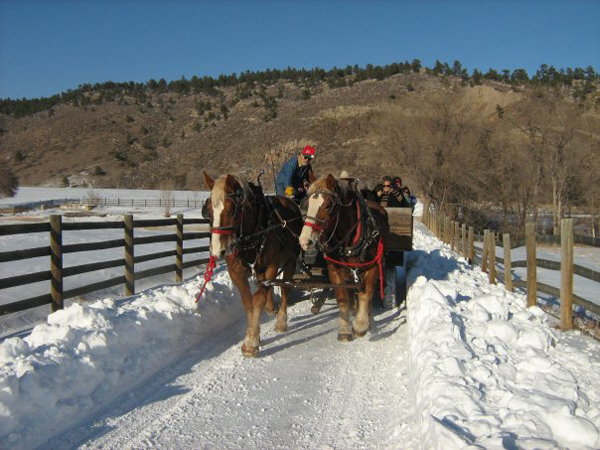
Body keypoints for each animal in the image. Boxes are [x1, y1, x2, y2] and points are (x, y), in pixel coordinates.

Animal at [203, 171, 304, 356]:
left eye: (231, 210)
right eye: (209, 211)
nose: (218, 250)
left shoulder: (271, 265)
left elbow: (258, 299)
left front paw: (250, 342)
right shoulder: (236, 271)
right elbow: (248, 302)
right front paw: (255, 334)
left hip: (290, 261)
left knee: (284, 288)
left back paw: (281, 320)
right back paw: (271, 307)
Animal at [298, 174, 390, 340]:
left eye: (328, 206)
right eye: (307, 205)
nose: (305, 240)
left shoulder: (372, 268)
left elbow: (366, 295)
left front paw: (361, 326)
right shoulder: (335, 271)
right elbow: (342, 298)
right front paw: (345, 329)